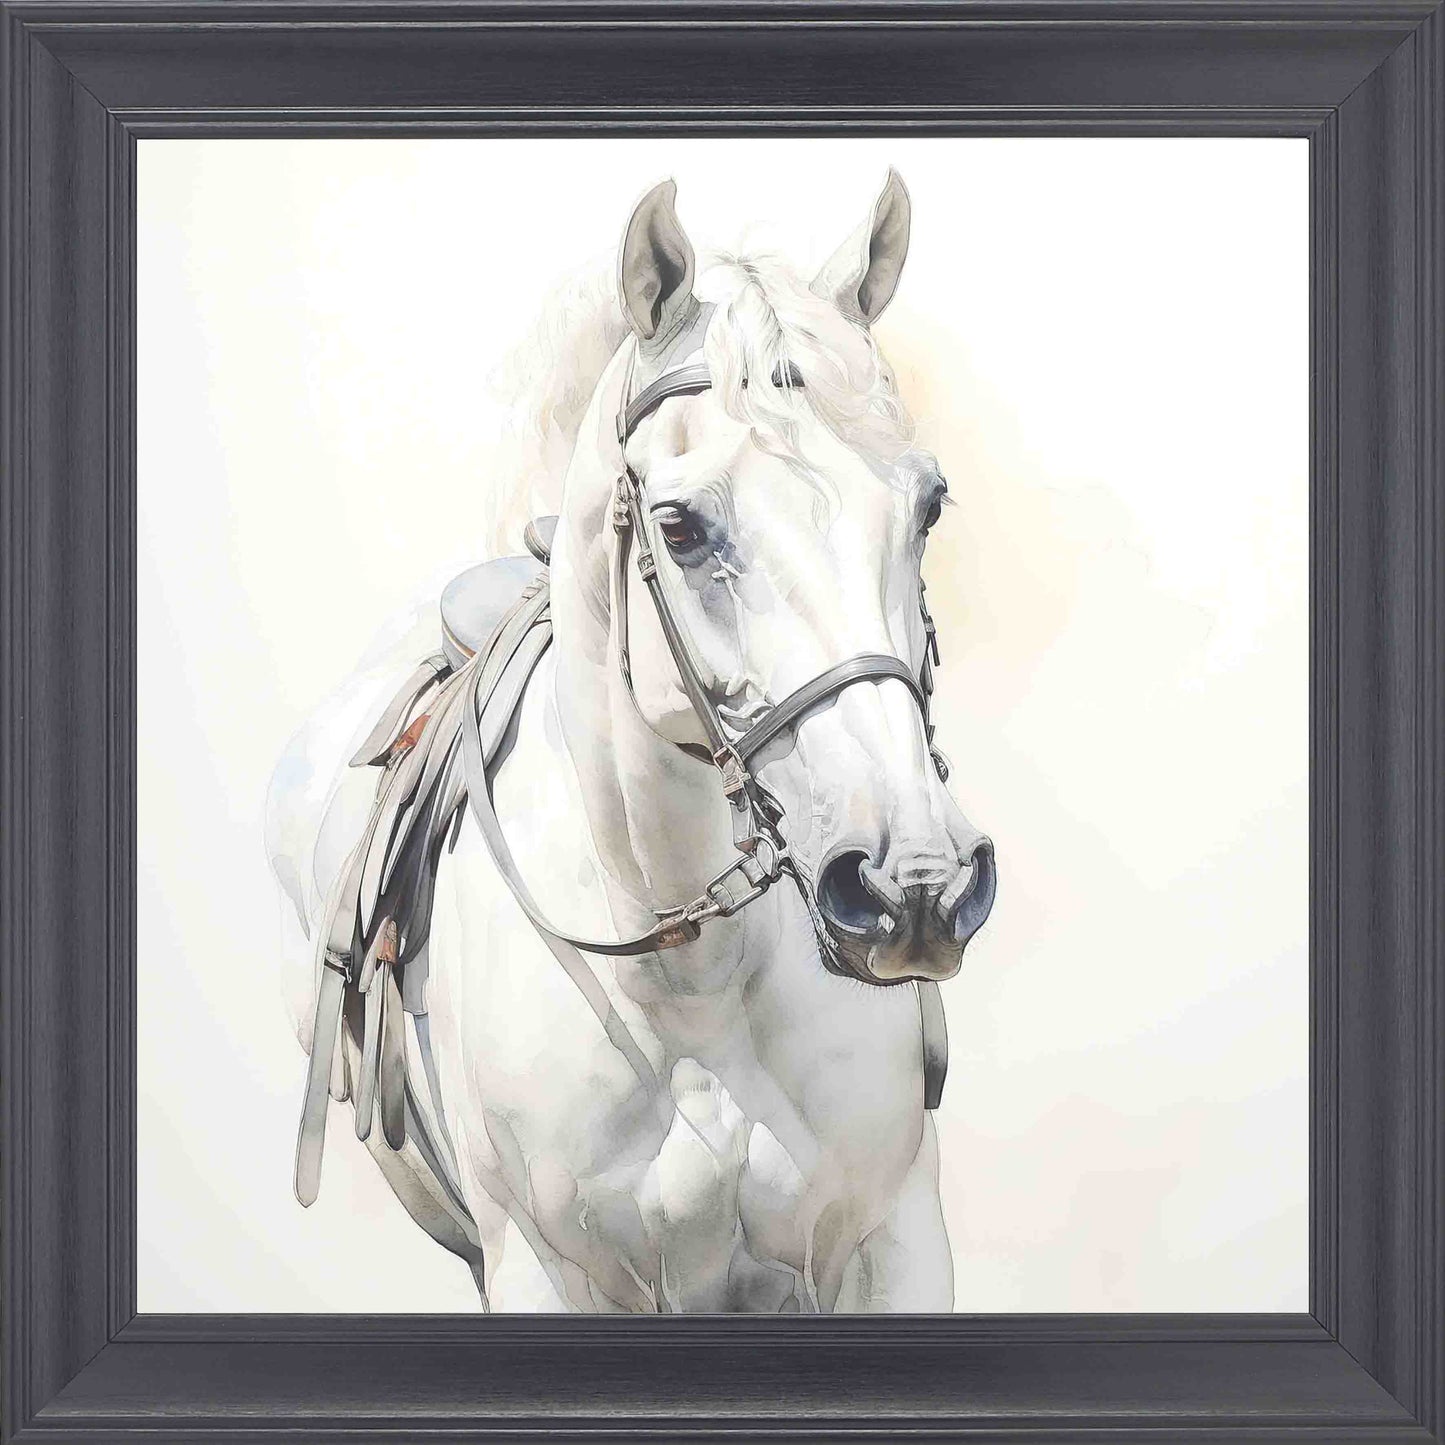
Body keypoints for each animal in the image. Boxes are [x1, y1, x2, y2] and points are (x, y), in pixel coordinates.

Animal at [265, 170, 996, 1313]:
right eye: (682, 527)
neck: (686, 987)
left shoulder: (898, 1239)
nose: (911, 884)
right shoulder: (541, 1271)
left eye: (928, 504)